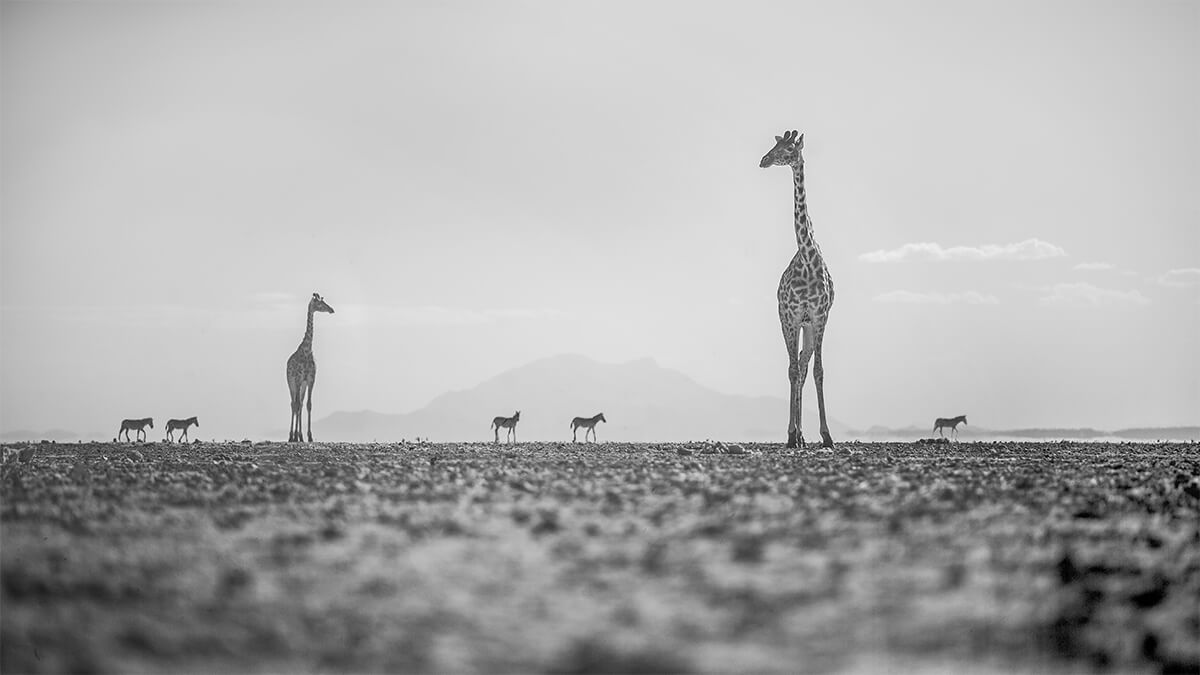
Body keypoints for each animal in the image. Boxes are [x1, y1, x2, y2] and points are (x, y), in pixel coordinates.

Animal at [284, 290, 333, 441]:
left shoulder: (310, 379)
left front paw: (309, 436)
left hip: (303, 385)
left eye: (324, 301)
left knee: (299, 404)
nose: (332, 309)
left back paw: (299, 436)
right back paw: (292, 436)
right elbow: (297, 405)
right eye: (319, 303)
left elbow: (308, 405)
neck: (306, 349)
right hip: (291, 383)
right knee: (293, 404)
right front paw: (294, 437)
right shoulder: (298, 379)